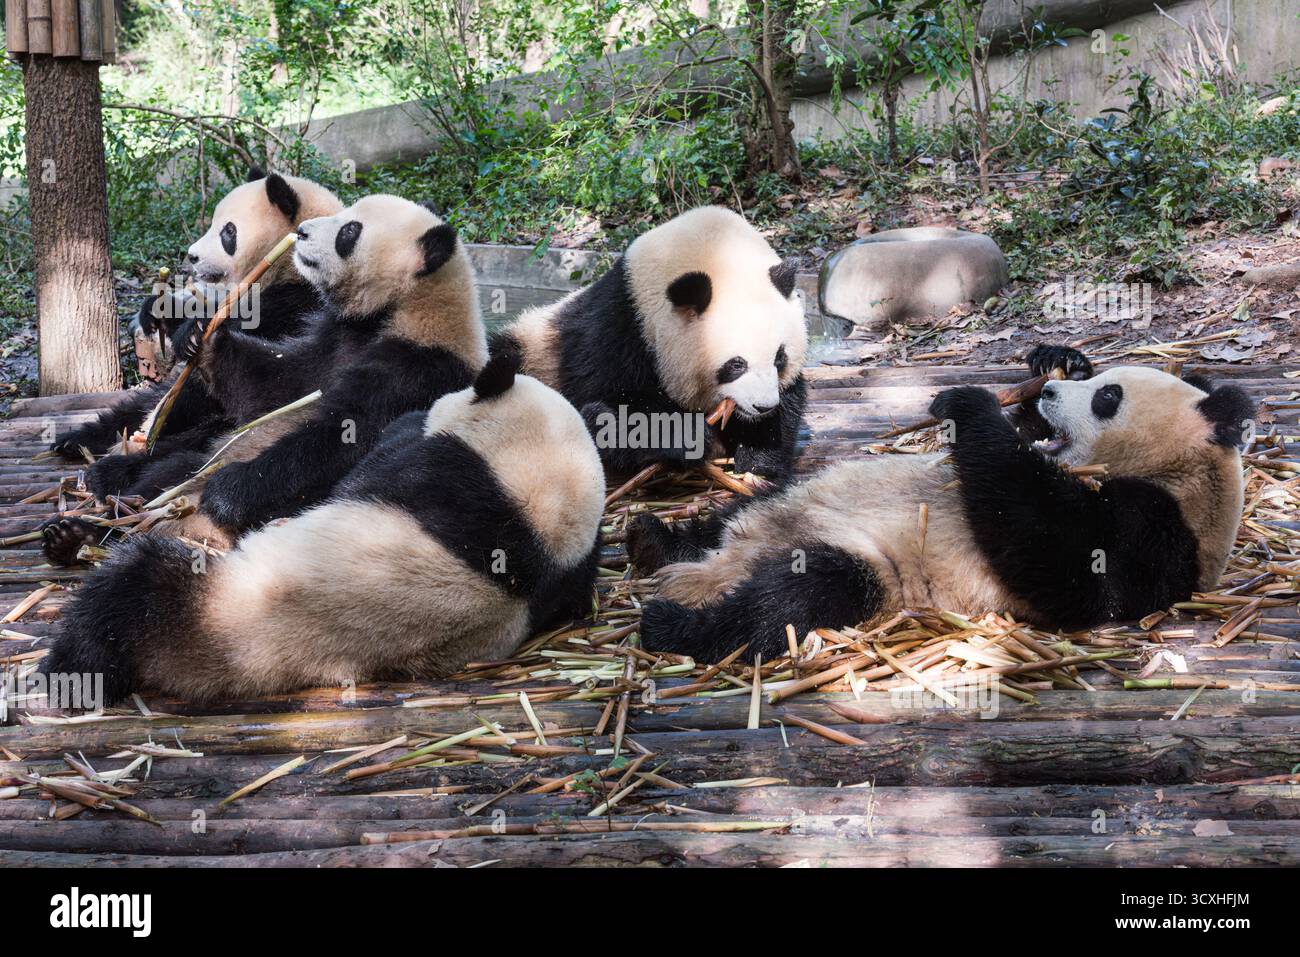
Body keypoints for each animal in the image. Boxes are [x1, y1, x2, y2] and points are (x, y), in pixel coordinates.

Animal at [40, 354, 606, 703]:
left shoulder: (436, 469)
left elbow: (370, 467)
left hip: (213, 609)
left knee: (130, 590)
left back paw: (70, 664)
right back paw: (73, 539)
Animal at [50, 169, 342, 474]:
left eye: (228, 231)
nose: (192, 255)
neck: (289, 267)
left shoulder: (298, 304)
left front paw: (192, 335)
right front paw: (159, 311)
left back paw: (117, 467)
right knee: (141, 404)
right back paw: (78, 439)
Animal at [491, 206, 808, 480]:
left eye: (779, 358)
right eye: (736, 364)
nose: (763, 406)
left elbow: (788, 400)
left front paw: (757, 459)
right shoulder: (618, 328)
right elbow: (616, 401)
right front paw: (688, 435)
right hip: (531, 350)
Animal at [629, 346, 1254, 661]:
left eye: (1108, 398)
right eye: (1102, 382)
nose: (1052, 392)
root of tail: (722, 567)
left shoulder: (1162, 530)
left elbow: (1062, 557)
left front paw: (967, 405)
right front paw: (1053, 361)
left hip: (864, 567)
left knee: (796, 596)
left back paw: (675, 623)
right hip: (787, 499)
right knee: (732, 517)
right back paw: (654, 541)